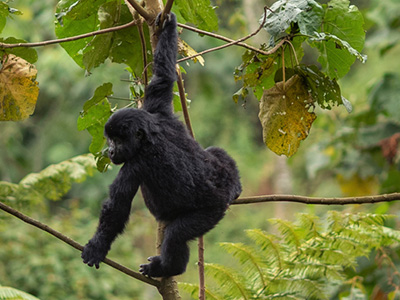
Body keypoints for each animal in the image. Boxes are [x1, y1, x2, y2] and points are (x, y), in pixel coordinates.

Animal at [81, 12, 241, 278]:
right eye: (109, 139)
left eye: (117, 140)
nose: (111, 151)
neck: (149, 134)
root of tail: (225, 192)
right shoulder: (157, 110)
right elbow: (163, 77)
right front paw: (168, 26)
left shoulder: (135, 164)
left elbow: (117, 208)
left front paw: (97, 247)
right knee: (215, 153)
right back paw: (237, 183)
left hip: (211, 210)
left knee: (177, 234)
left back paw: (168, 267)